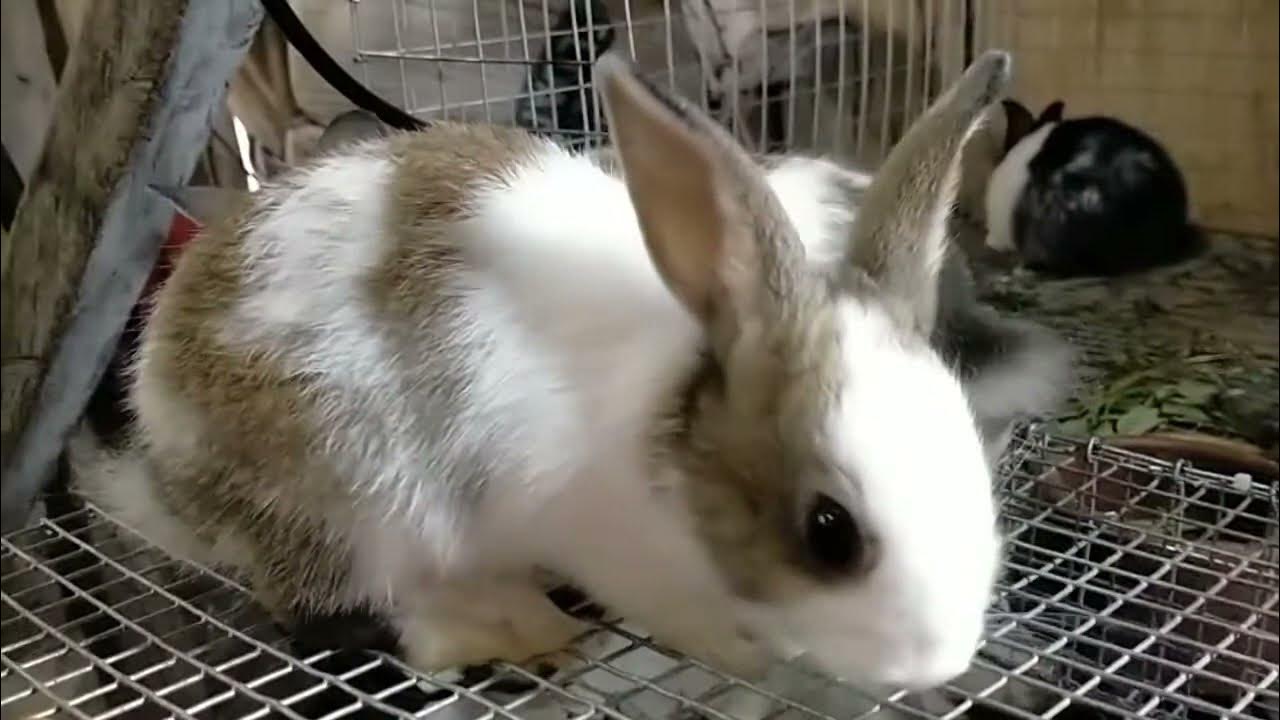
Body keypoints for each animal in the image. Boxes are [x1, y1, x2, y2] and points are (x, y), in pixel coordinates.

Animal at [77, 49, 1068, 694]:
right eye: (829, 531)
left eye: (975, 470)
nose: (939, 661)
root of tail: (164, 450)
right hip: (346, 508)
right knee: (341, 617)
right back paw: (511, 625)